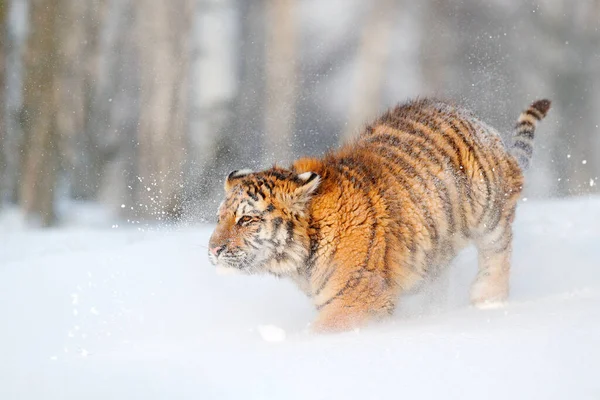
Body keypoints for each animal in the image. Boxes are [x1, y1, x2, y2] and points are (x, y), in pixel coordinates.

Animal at [209, 98, 552, 332]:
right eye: (219, 218)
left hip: (490, 209)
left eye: (246, 220)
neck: (301, 258)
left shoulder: (356, 299)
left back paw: (487, 299)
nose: (213, 250)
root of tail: (480, 123)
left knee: (498, 249)